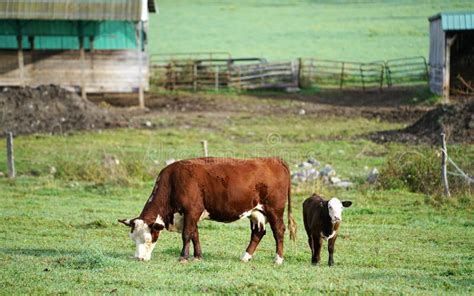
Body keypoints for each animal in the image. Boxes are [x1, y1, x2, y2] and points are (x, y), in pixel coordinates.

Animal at [118, 157, 296, 264]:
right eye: (133, 239)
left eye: (148, 239)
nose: (139, 258)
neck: (173, 181)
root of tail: (273, 160)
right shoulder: (191, 215)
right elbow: (195, 234)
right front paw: (197, 256)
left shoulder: (192, 210)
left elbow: (186, 234)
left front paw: (183, 257)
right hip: (256, 212)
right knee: (258, 233)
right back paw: (245, 257)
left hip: (274, 209)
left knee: (279, 231)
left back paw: (278, 259)